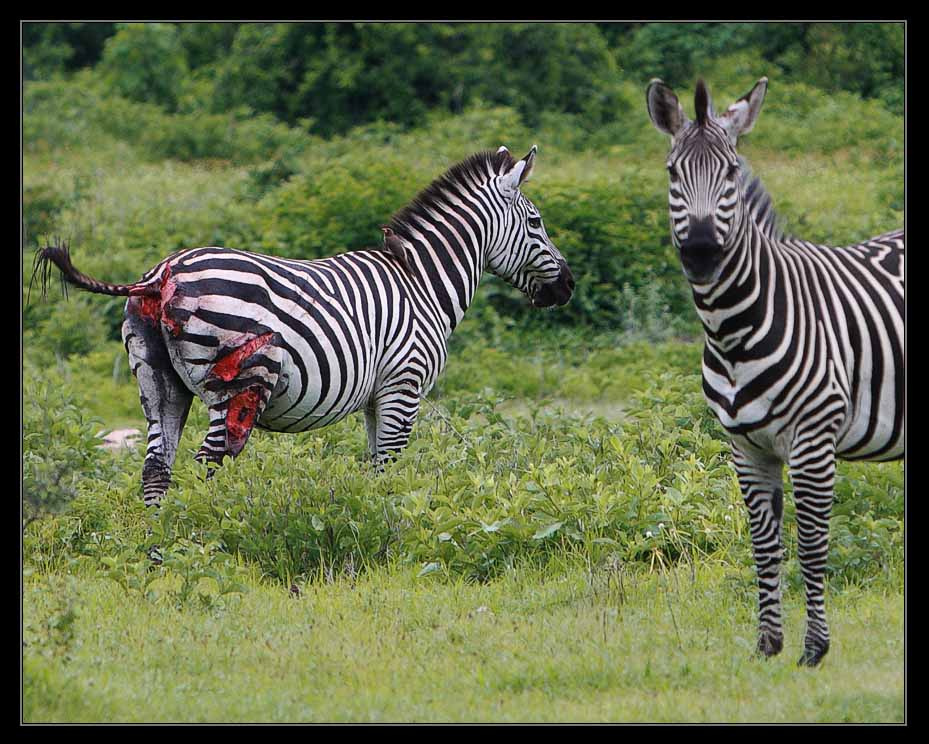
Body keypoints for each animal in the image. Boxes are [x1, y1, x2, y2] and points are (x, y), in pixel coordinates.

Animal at [33, 146, 575, 506]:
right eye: (536, 223)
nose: (568, 287)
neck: (422, 283)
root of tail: (162, 275)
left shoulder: (377, 395)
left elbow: (372, 467)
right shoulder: (405, 385)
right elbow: (388, 469)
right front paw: (389, 530)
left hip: (156, 381)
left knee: (155, 470)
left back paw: (159, 553)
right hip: (233, 385)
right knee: (207, 465)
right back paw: (205, 537)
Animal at [646, 77, 904, 666]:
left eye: (731, 172)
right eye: (672, 172)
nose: (700, 252)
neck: (732, 330)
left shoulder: (813, 439)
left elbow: (810, 544)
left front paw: (814, 649)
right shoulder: (746, 446)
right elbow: (764, 545)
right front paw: (768, 645)